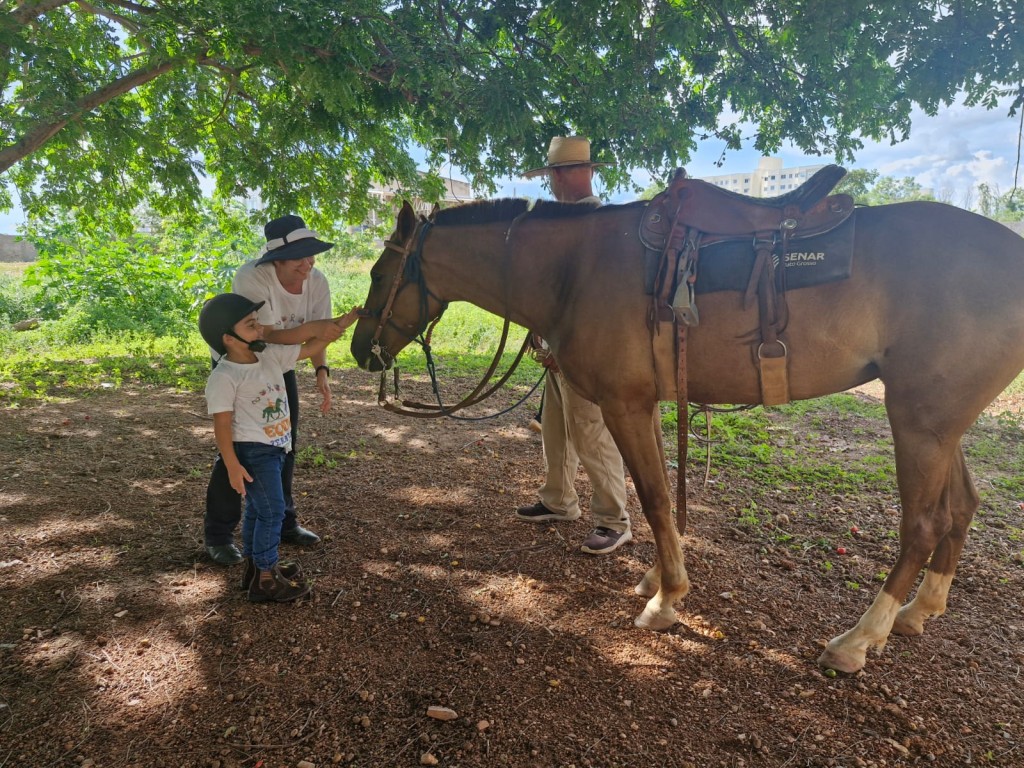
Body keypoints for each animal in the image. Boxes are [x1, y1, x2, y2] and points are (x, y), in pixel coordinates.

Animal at [350, 198, 1024, 671]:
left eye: (382, 272)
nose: (359, 350)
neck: (575, 269)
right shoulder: (646, 404)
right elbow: (659, 502)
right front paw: (657, 578)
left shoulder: (623, 406)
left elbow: (650, 498)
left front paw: (666, 599)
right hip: (940, 424)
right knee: (962, 506)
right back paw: (919, 612)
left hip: (918, 421)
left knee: (923, 526)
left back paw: (858, 640)